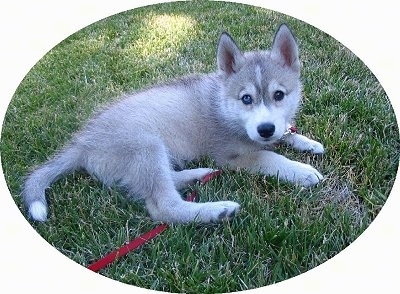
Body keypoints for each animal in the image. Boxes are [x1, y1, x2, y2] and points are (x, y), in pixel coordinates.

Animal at [22, 24, 324, 224]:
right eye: (246, 98)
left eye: (279, 95)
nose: (265, 129)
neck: (225, 107)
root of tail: (82, 143)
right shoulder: (230, 155)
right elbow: (268, 156)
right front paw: (301, 171)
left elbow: (286, 132)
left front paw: (307, 143)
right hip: (146, 144)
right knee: (163, 206)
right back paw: (215, 210)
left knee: (163, 181)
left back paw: (198, 174)